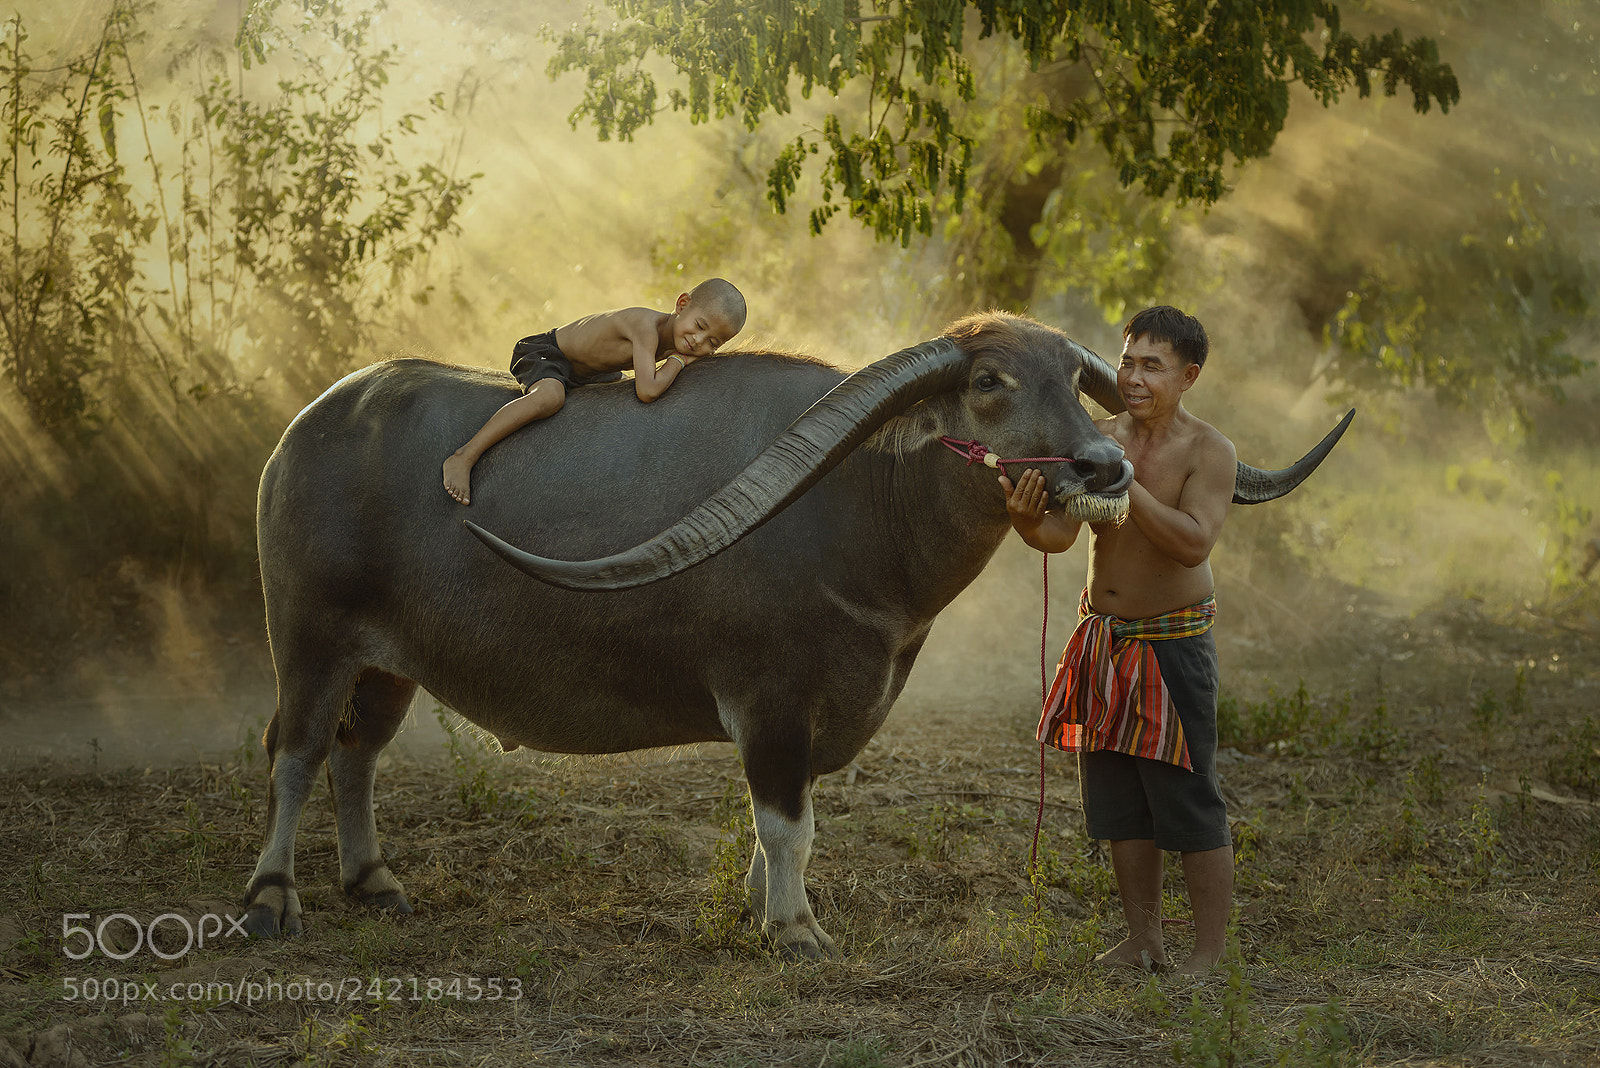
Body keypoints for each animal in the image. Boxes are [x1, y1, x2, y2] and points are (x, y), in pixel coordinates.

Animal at [243, 312, 1349, 957]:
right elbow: (787, 820)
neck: (859, 505)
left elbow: (783, 820)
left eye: (1075, 383)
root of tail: (308, 423)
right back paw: (271, 897)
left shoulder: (825, 707)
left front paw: (759, 905)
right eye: (989, 381)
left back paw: (373, 881)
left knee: (358, 754)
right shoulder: (769, 700)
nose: (1103, 468)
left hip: (389, 662)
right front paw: (795, 927)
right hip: (308, 637)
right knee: (296, 755)